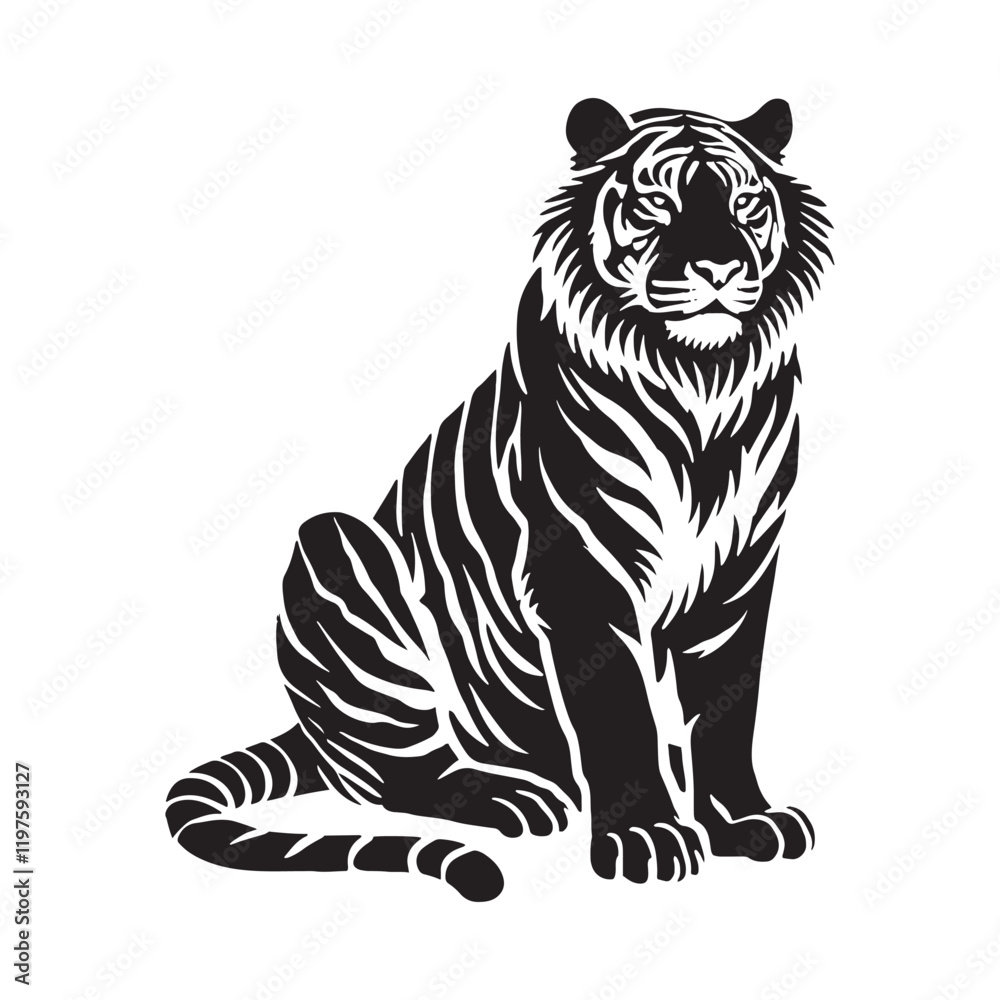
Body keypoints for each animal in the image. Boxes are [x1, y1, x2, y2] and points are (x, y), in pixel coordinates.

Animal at [166, 97, 832, 901]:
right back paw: (514, 797)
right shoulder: (582, 574)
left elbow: (729, 705)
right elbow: (620, 717)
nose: (719, 267)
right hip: (335, 548)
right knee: (391, 776)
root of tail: (311, 732)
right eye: (656, 203)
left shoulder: (741, 572)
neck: (699, 380)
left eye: (745, 205)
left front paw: (742, 822)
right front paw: (644, 838)